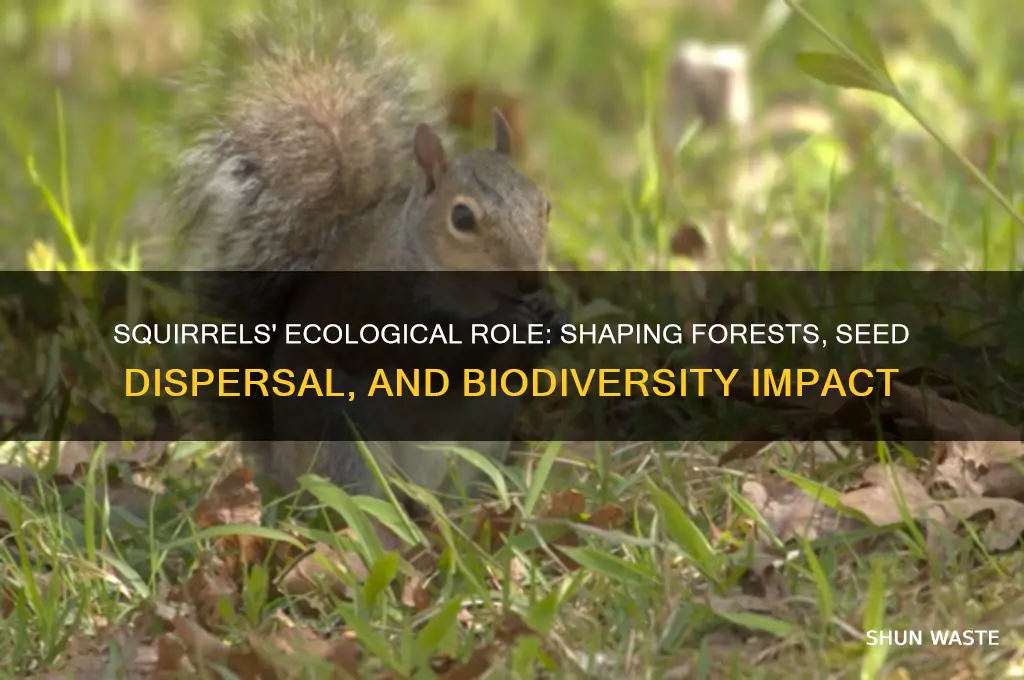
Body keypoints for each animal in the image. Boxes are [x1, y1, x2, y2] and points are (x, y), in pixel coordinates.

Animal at [162, 4, 562, 507]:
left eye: (544, 205)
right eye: (462, 218)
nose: (531, 282)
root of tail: (281, 471)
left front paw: (552, 317)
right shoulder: (381, 307)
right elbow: (434, 358)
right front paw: (509, 325)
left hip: (481, 443)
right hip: (345, 444)